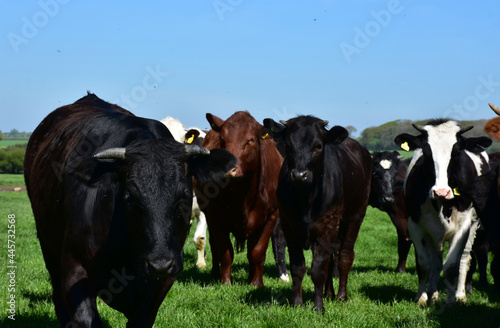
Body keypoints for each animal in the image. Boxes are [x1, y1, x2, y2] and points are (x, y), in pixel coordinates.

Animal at [194, 111, 284, 288]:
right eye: (222, 139)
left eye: (251, 140)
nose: (228, 168)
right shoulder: (215, 216)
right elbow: (225, 251)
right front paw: (225, 283)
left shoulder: (271, 216)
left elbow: (257, 253)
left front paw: (257, 284)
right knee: (214, 246)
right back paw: (215, 274)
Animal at [264, 116, 374, 312]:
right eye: (288, 146)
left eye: (318, 146)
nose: (299, 175)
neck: (306, 199)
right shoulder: (289, 226)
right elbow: (298, 267)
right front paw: (297, 303)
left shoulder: (327, 228)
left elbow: (318, 270)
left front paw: (318, 307)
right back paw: (329, 293)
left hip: (355, 218)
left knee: (345, 257)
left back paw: (341, 296)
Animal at [394, 120, 492, 308]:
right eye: (426, 151)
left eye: (456, 152)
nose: (441, 191)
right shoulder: (415, 224)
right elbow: (424, 264)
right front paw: (422, 298)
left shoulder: (464, 226)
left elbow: (453, 266)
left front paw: (451, 301)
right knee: (436, 262)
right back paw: (433, 294)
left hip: (473, 227)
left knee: (465, 259)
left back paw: (460, 295)